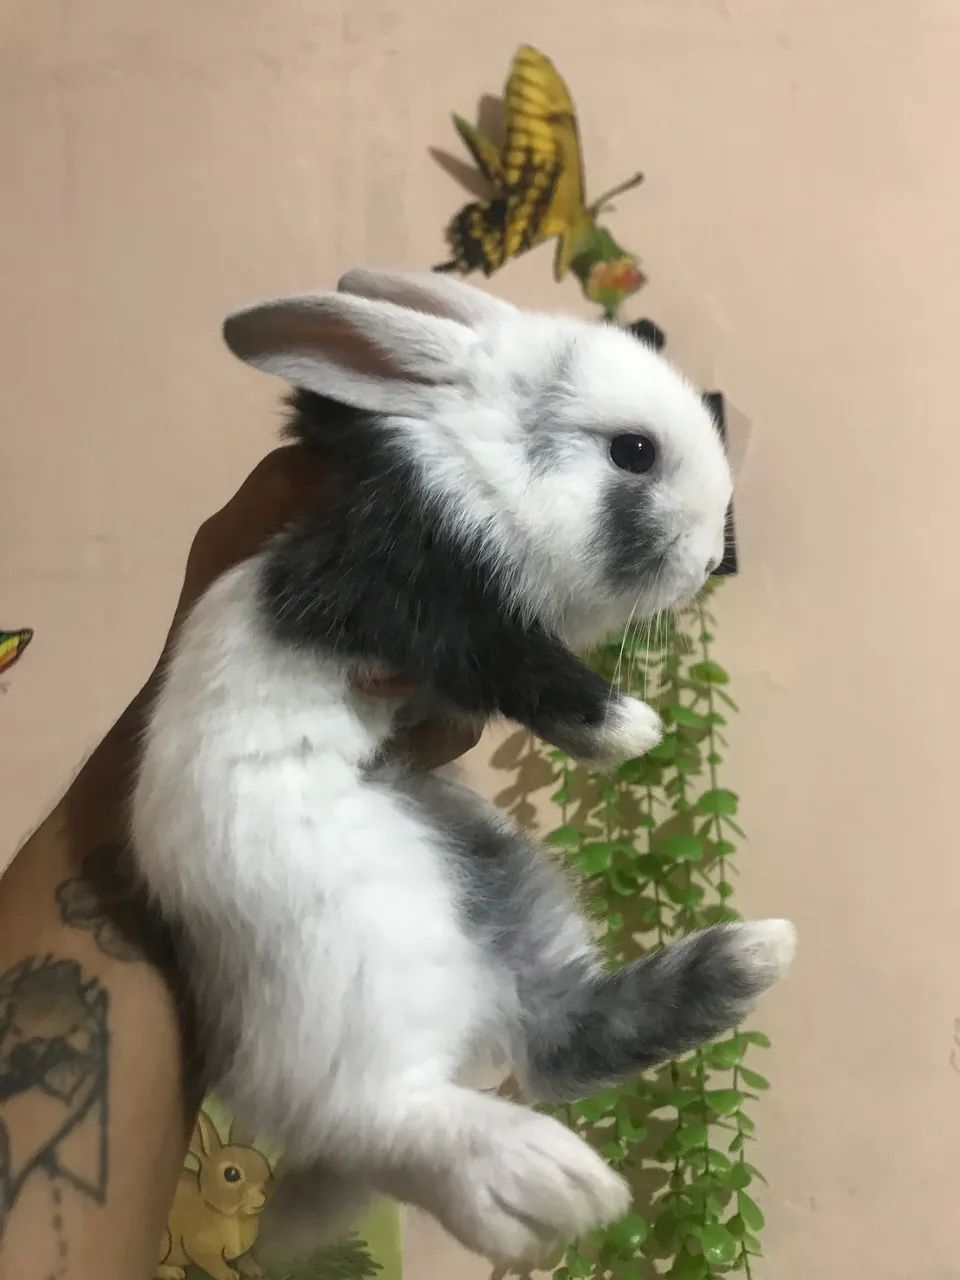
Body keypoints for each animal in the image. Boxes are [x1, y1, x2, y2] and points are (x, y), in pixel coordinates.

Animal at [157, 1110, 273, 1280]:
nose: (265, 1193)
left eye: (267, 1169)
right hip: (165, 1240)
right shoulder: (201, 1248)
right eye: (231, 1174)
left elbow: (244, 1258)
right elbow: (214, 1264)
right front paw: (230, 1275)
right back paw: (173, 1272)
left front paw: (255, 1270)